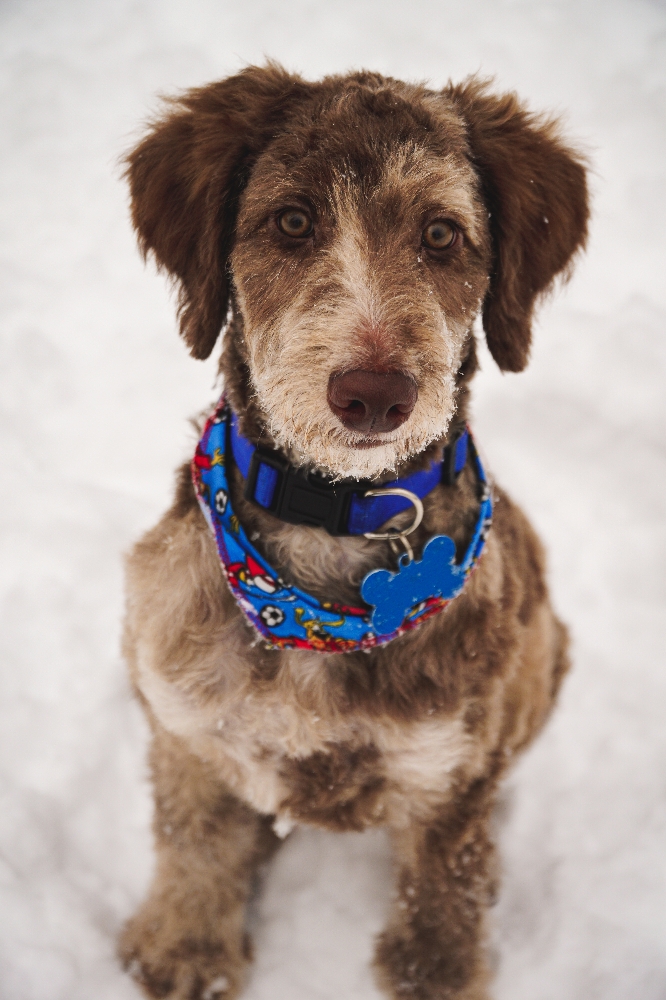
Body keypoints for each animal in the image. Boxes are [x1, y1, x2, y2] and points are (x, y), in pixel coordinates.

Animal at [119, 64, 588, 1000]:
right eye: (292, 222)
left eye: (441, 234)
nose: (374, 395)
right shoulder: (186, 725)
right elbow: (195, 842)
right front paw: (186, 950)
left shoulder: (449, 781)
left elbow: (441, 910)